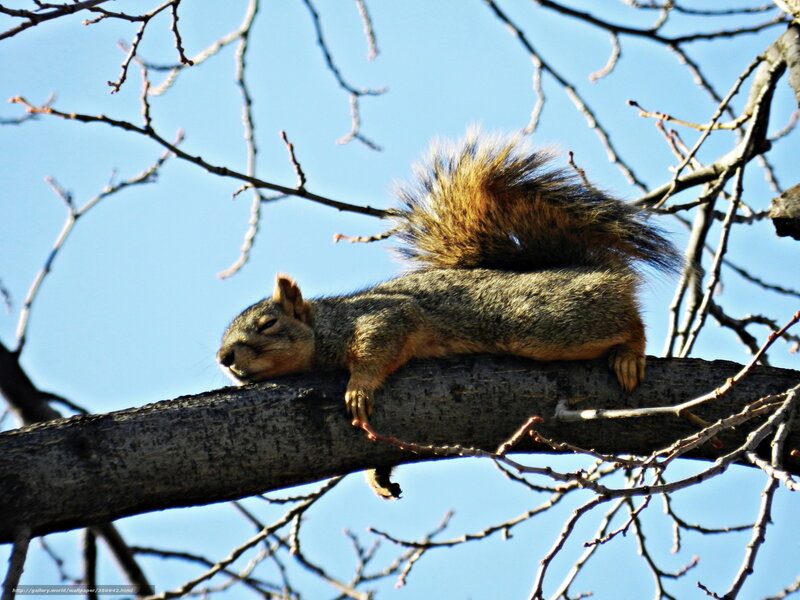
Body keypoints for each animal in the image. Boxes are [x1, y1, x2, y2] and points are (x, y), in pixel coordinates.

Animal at [216, 130, 680, 498]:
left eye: (268, 324)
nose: (224, 358)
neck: (326, 324)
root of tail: (591, 269)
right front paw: (378, 477)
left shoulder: (382, 316)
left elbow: (379, 344)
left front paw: (359, 388)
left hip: (543, 323)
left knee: (627, 321)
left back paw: (629, 353)